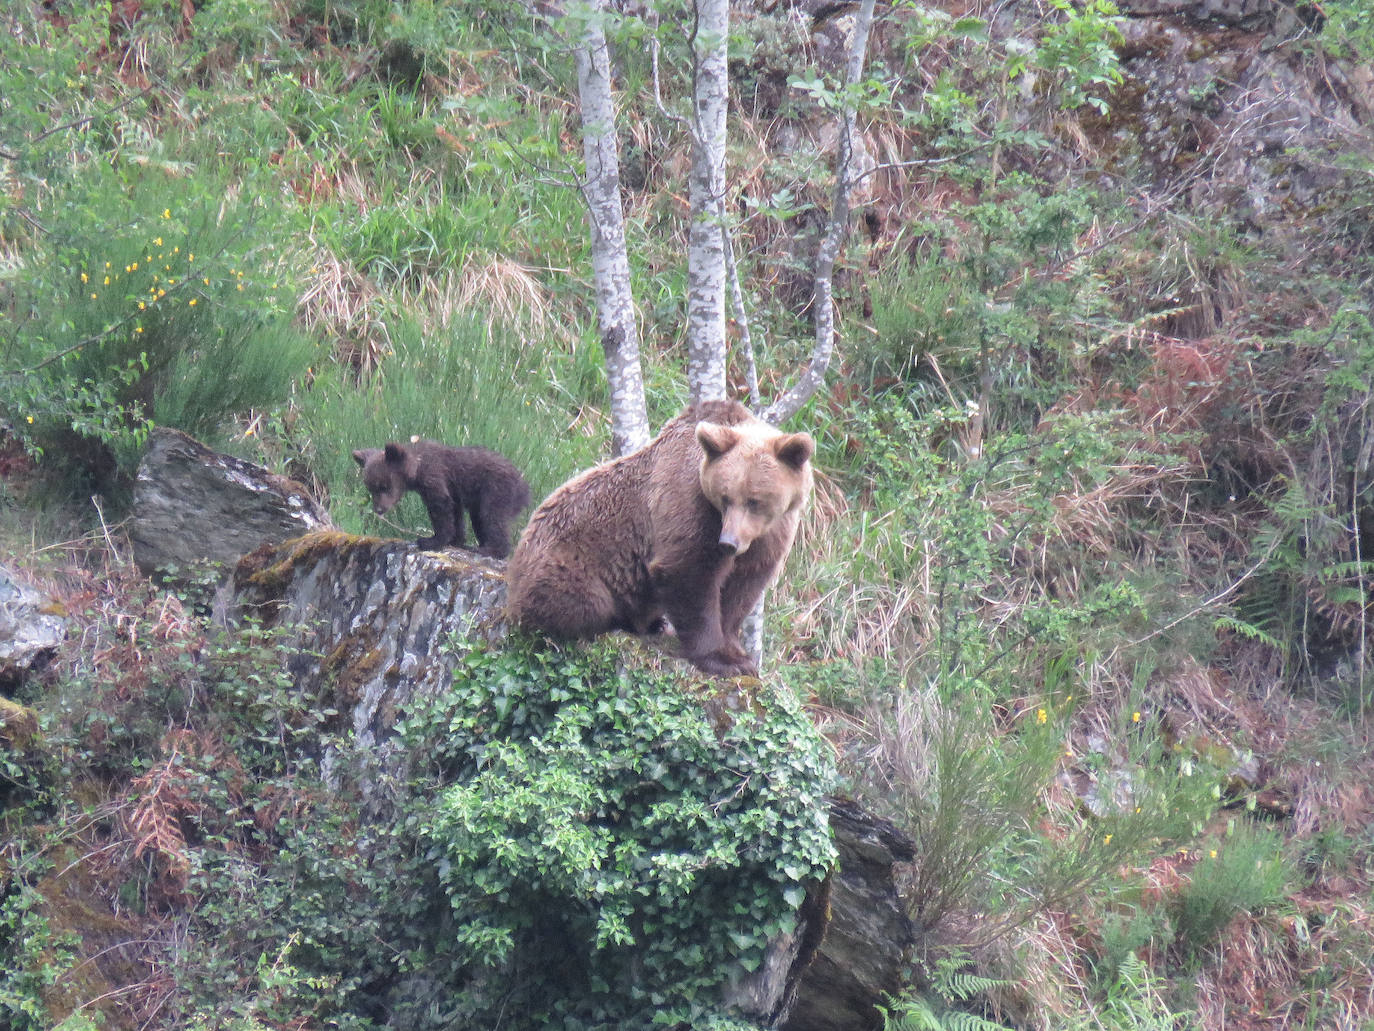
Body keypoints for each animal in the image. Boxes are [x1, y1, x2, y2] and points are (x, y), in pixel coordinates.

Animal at [505, 401, 807, 679]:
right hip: (568, 563)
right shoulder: (691, 504)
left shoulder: (771, 534)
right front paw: (720, 658)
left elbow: (743, 587)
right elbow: (690, 573)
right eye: (725, 497)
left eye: (754, 500)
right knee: (581, 603)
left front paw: (738, 654)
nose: (728, 542)